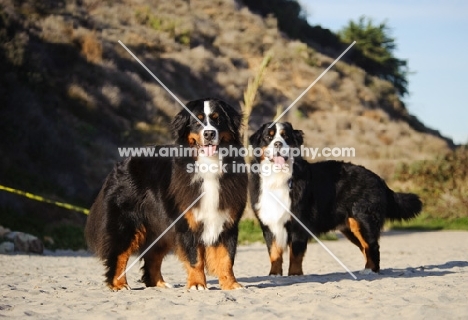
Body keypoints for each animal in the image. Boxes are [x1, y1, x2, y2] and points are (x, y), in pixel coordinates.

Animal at [87, 97, 249, 290]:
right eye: (197, 121)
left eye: (218, 120)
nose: (209, 133)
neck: (209, 164)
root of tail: (120, 164)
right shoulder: (187, 222)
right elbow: (195, 258)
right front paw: (197, 284)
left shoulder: (227, 221)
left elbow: (226, 258)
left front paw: (231, 284)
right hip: (127, 223)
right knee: (119, 253)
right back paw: (118, 284)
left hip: (159, 226)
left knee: (152, 256)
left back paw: (159, 284)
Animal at [250, 121, 422, 276]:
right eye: (268, 137)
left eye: (286, 136)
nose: (278, 143)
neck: (278, 177)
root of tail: (378, 178)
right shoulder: (269, 223)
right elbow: (274, 252)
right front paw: (274, 274)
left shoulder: (299, 223)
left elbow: (296, 254)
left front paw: (294, 274)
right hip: (351, 227)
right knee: (365, 247)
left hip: (363, 220)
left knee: (372, 246)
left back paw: (370, 271)